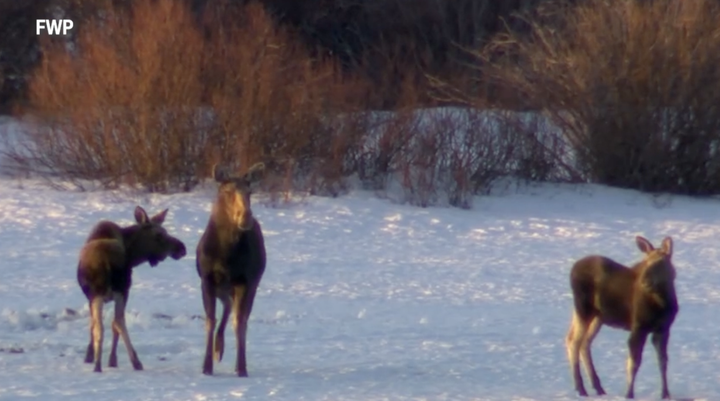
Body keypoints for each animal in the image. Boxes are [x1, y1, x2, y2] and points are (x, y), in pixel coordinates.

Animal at [77, 206, 187, 373]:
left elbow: (96, 324)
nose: (182, 248)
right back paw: (125, 363)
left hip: (105, 293)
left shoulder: (92, 297)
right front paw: (100, 358)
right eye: (159, 234)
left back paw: (107, 364)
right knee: (114, 322)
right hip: (118, 291)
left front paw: (93, 357)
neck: (133, 255)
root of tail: (106, 262)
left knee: (107, 324)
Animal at [196, 162, 266, 377]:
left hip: (249, 285)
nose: (246, 217)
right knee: (227, 305)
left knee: (238, 313)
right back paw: (218, 348)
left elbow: (240, 322)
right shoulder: (207, 279)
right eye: (227, 191)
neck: (226, 257)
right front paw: (206, 366)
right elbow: (209, 320)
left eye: (250, 191)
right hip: (222, 286)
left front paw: (241, 367)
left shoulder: (245, 281)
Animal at [566, 235, 679, 399]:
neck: (662, 303)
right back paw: (581, 389)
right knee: (574, 341)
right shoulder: (638, 327)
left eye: (661, 262)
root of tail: (573, 268)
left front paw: (665, 394)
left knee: (581, 341)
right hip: (584, 308)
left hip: (597, 316)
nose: (645, 281)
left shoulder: (663, 329)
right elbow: (634, 362)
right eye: (646, 262)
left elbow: (663, 362)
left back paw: (598, 388)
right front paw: (629, 394)